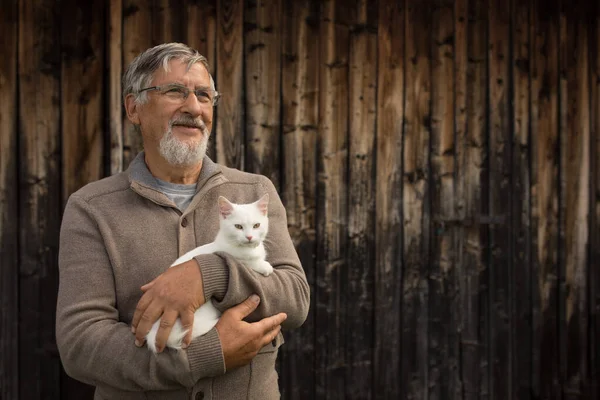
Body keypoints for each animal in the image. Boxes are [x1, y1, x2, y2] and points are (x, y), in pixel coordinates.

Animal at [146, 194, 274, 354]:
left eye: (256, 225)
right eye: (238, 227)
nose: (249, 237)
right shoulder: (233, 256)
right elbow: (246, 262)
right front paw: (264, 266)